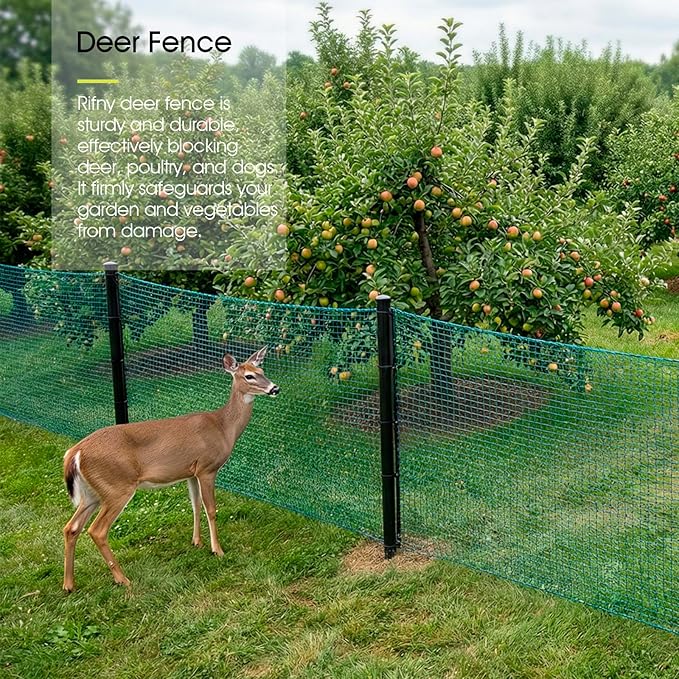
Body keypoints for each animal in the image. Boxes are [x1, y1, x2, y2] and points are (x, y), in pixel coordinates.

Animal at [62, 346, 279, 592]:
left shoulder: (191, 472)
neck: (223, 427)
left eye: (262, 370)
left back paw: (69, 585)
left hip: (93, 493)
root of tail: (75, 452)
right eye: (249, 376)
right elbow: (211, 509)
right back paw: (122, 579)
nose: (275, 388)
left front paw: (197, 542)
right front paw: (217, 550)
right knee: (97, 531)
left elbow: (195, 505)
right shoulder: (207, 468)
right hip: (117, 487)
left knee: (71, 528)